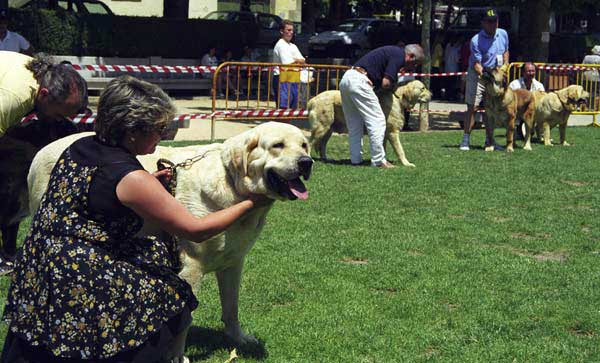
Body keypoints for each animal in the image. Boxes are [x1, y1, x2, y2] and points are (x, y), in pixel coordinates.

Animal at [28, 122, 314, 346]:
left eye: (304, 145)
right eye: (277, 145)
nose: (306, 162)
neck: (232, 184)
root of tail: (40, 151)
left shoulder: (233, 263)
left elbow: (231, 306)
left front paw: (238, 339)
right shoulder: (192, 267)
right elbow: (186, 319)